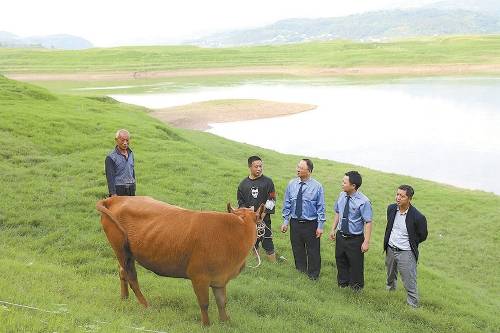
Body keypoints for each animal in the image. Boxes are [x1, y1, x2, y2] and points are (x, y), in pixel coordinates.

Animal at [95, 195, 264, 324]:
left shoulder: (220, 279)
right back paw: (146, 305)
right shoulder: (199, 276)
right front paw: (206, 325)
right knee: (132, 278)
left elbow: (222, 302)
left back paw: (124, 298)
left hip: (124, 253)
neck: (233, 234)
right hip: (122, 250)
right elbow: (204, 303)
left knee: (122, 272)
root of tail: (116, 198)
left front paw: (225, 322)